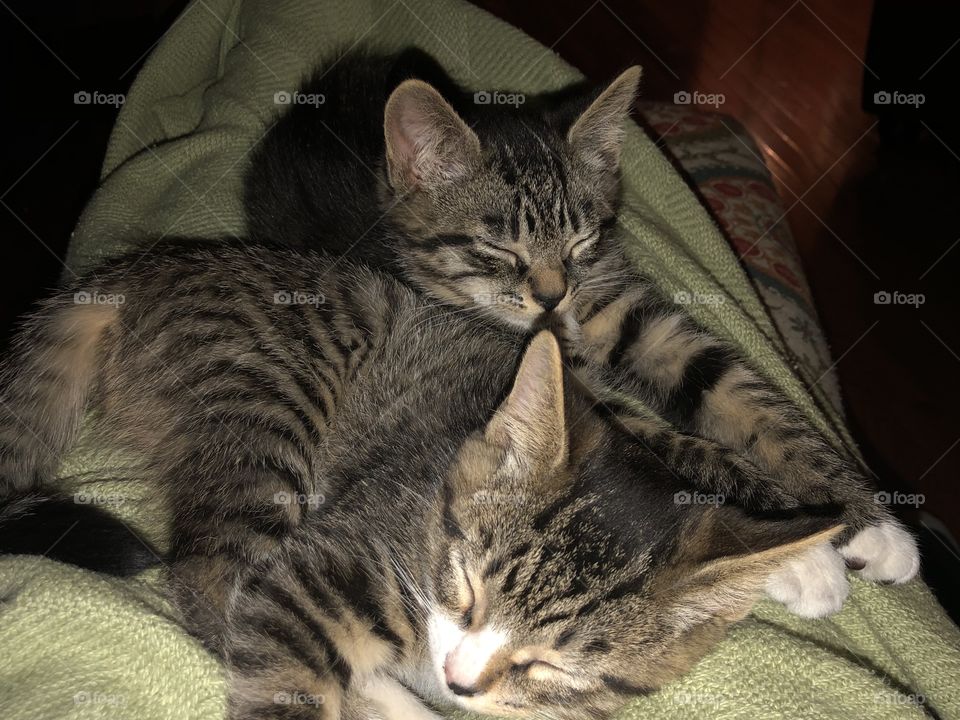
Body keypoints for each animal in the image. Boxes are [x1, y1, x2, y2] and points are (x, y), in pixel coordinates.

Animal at [0, 243, 836, 720]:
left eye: (554, 664)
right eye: (463, 586)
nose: (458, 683)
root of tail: (133, 270)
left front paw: (808, 547)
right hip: (272, 399)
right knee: (216, 573)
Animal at [244, 49, 920, 608]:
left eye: (580, 240)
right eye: (499, 249)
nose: (550, 295)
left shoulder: (627, 309)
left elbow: (740, 394)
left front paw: (869, 522)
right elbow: (653, 442)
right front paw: (796, 556)